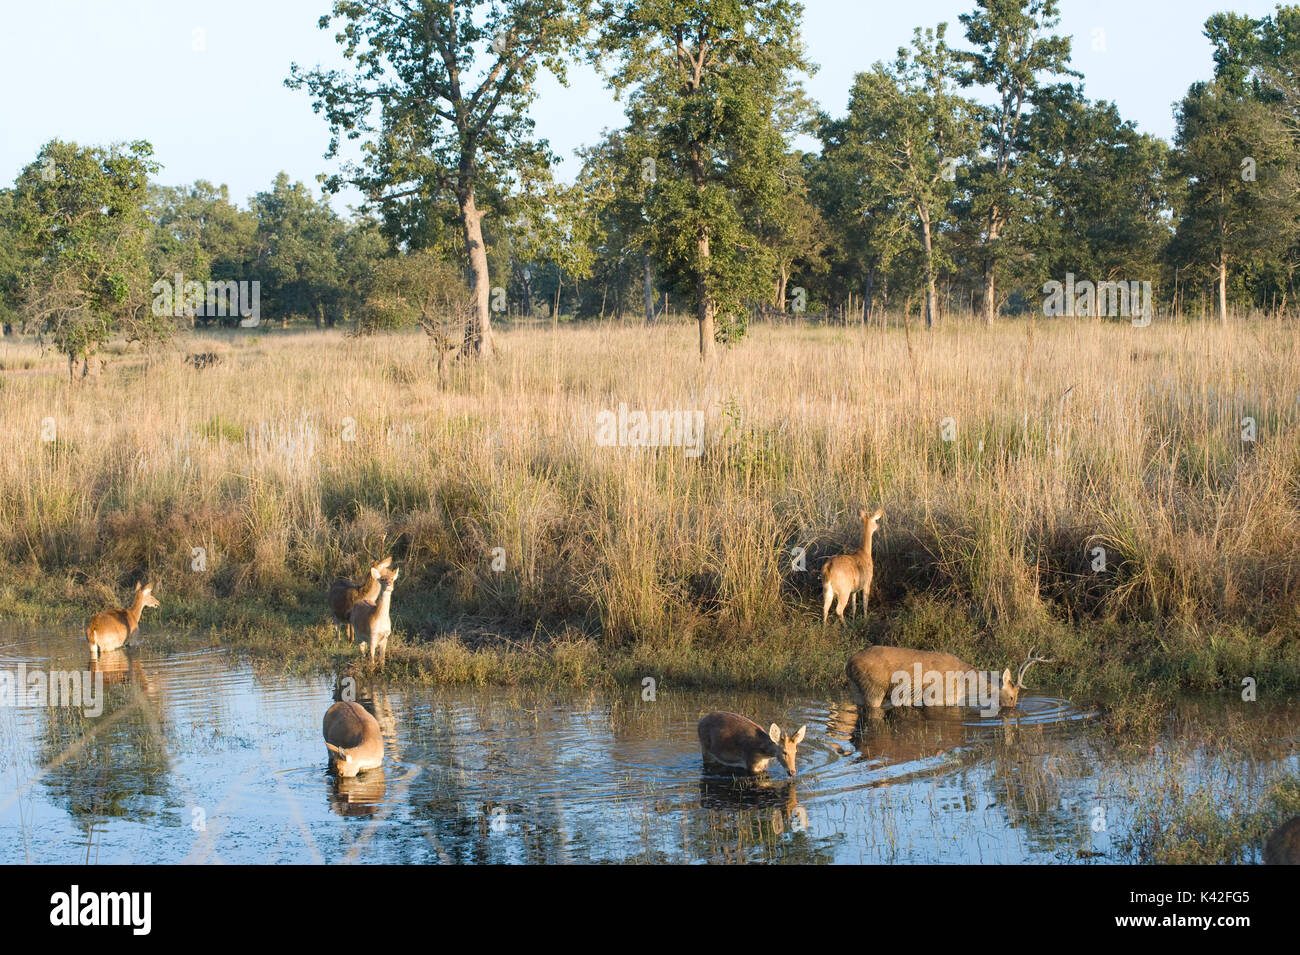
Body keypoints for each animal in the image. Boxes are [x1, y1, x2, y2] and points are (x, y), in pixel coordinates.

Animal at [842, 647, 1055, 712]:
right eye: (1012, 696)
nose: (1014, 710)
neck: (964, 686)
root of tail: (849, 663)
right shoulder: (937, 698)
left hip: (856, 688)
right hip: (874, 689)